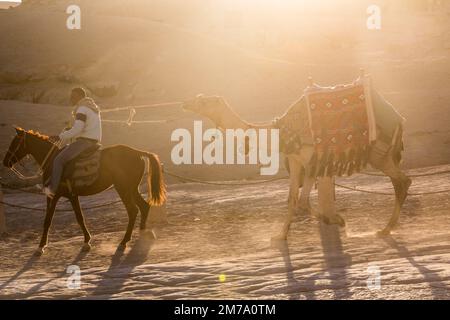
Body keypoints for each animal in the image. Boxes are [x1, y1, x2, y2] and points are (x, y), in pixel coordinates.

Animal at [2, 127, 167, 255]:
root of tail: (137, 152)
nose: (5, 162)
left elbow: (48, 220)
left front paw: (41, 246)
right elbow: (79, 217)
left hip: (123, 188)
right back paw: (143, 233)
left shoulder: (53, 196)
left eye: (15, 143)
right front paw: (87, 242)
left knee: (133, 210)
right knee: (144, 206)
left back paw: (124, 242)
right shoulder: (72, 196)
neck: (52, 162)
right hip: (132, 188)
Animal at [183, 74, 412, 240]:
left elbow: (301, 200)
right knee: (400, 181)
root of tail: (398, 118)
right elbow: (293, 198)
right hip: (382, 154)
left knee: (402, 181)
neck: (281, 131)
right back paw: (385, 228)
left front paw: (337, 220)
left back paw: (385, 229)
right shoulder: (295, 161)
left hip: (379, 152)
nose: (186, 102)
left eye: (204, 101)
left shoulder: (311, 160)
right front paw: (281, 236)